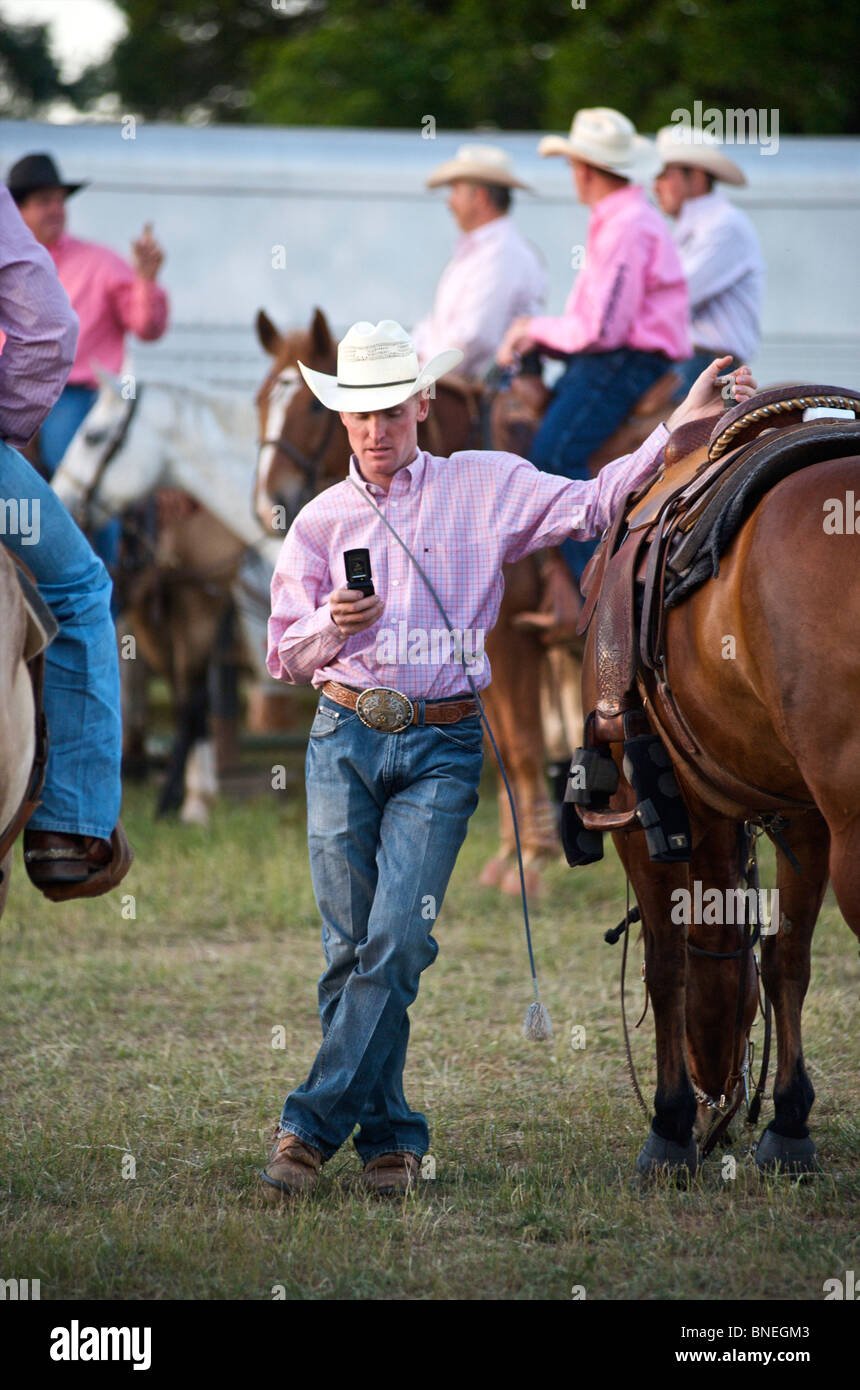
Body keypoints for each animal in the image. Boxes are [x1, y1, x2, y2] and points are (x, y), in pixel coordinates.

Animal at [577, 400, 860, 1173]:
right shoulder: (804, 811)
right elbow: (786, 960)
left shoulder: (641, 815)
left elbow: (667, 962)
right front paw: (789, 1123)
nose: (716, 1107)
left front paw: (669, 1128)